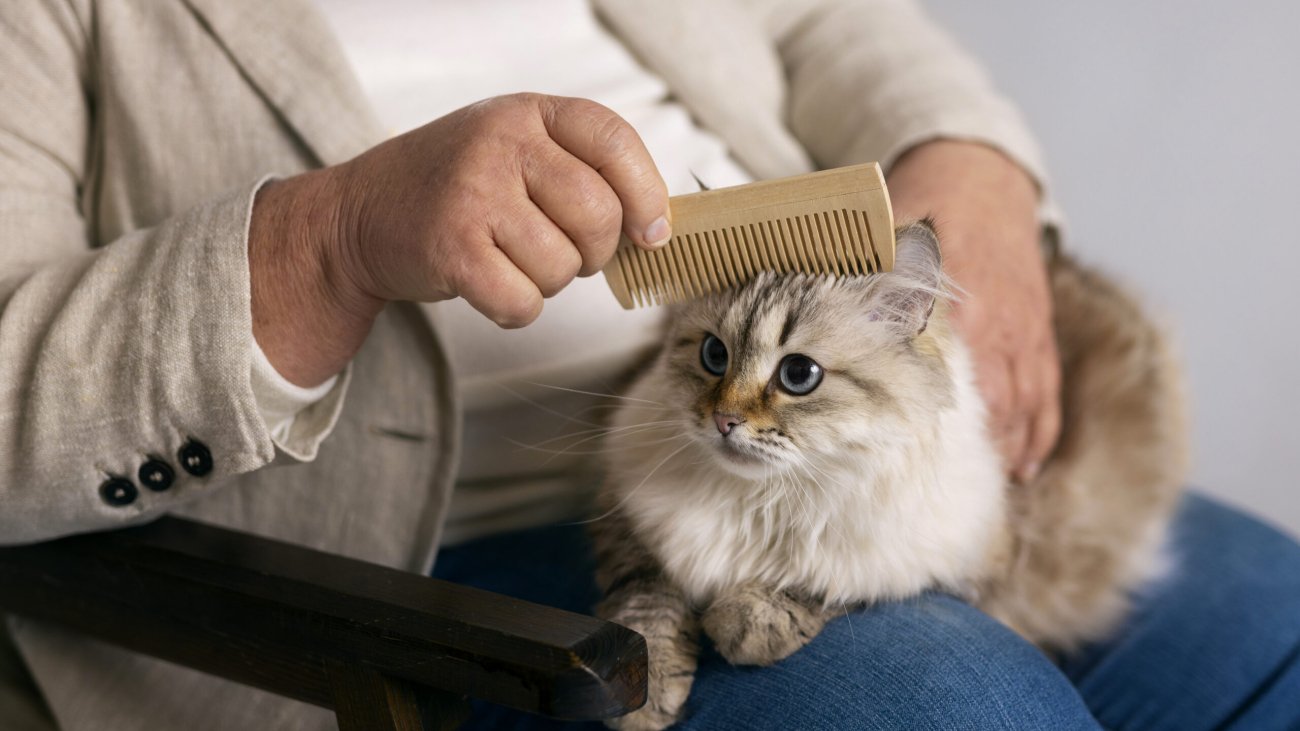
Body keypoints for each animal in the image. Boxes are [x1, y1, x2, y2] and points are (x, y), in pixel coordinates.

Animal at [590, 218, 1190, 723]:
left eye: (798, 374)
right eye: (714, 356)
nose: (723, 421)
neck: (765, 498)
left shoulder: (957, 556)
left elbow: (829, 583)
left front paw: (745, 624)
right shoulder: (629, 517)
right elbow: (645, 607)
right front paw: (642, 702)